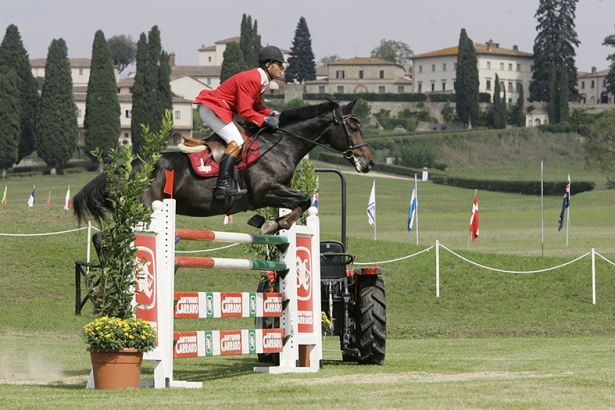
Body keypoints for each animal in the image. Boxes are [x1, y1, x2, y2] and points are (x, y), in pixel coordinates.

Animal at [74, 98, 372, 234]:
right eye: (353, 127)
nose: (368, 162)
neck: (281, 144)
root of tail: (128, 169)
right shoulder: (264, 191)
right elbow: (305, 198)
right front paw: (271, 224)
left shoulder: (277, 191)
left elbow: (302, 202)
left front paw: (269, 222)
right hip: (144, 210)